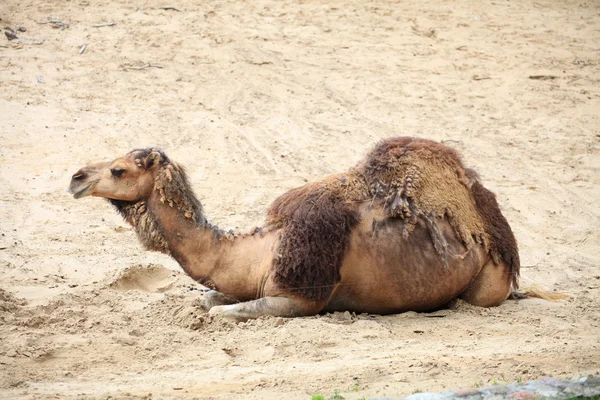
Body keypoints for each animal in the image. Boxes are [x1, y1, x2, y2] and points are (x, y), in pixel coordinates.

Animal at [68, 138, 524, 322]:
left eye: (118, 169)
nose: (76, 177)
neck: (263, 248)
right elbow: (209, 300)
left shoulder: (299, 298)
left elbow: (222, 313)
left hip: (489, 281)